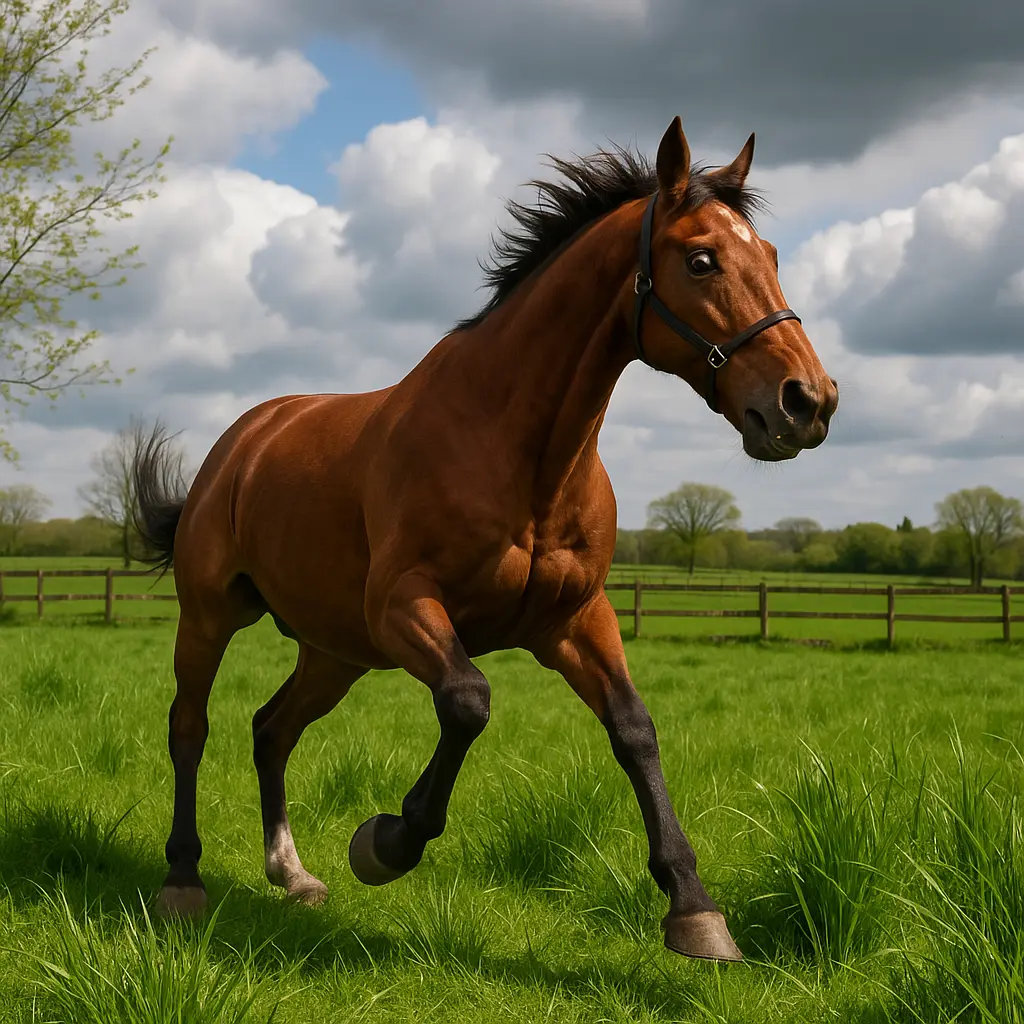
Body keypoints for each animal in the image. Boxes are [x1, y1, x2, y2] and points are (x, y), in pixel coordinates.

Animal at [132, 116, 838, 963]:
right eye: (702, 260)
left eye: (772, 256)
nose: (808, 401)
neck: (519, 453)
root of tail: (244, 439)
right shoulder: (406, 608)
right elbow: (469, 701)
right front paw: (386, 841)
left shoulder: (576, 621)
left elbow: (635, 730)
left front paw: (694, 910)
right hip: (213, 618)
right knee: (190, 727)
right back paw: (183, 880)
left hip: (334, 652)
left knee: (272, 730)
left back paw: (292, 875)